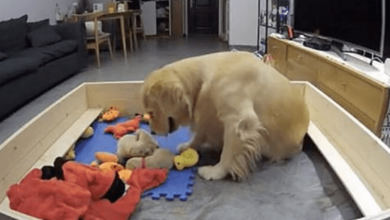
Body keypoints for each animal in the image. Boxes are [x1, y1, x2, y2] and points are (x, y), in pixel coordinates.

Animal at [142, 51, 310, 180]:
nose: (152, 131)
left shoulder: (239, 120)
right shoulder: (209, 112)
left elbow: (228, 153)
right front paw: (189, 145)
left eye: (151, 113)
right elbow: (200, 133)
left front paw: (216, 172)